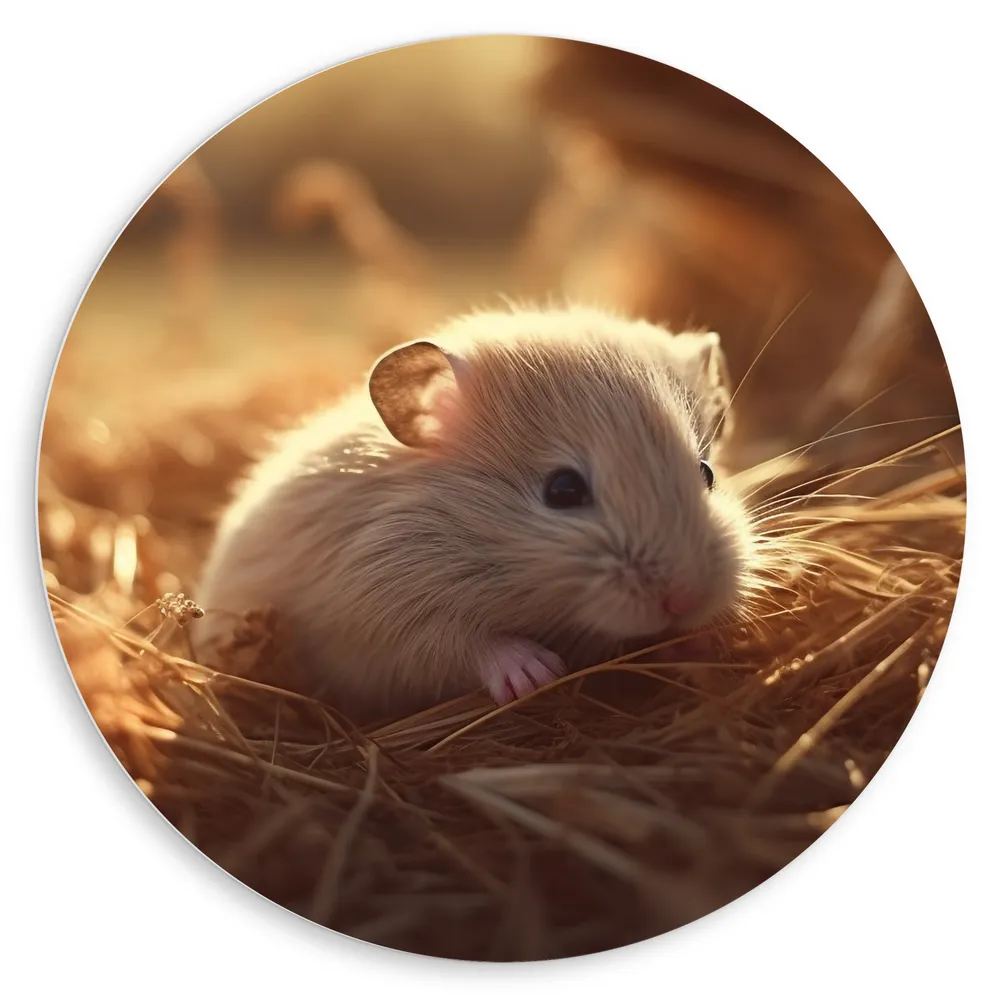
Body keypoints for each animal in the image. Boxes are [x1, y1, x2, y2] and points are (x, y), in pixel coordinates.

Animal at [192, 306, 752, 721]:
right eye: (562, 489)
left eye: (707, 473)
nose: (686, 599)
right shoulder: (380, 617)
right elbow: (464, 642)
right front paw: (538, 674)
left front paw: (707, 644)